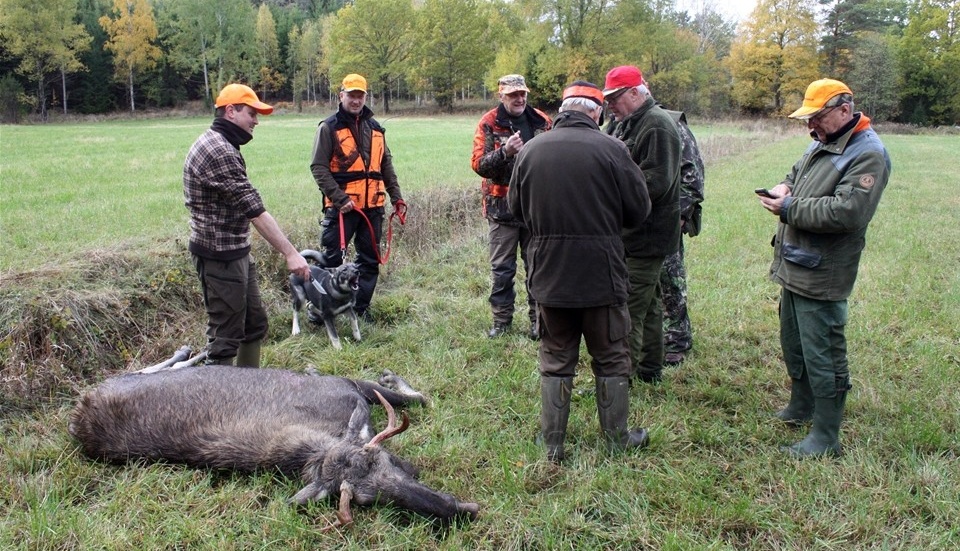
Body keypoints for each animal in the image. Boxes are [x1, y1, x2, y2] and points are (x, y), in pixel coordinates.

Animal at [67, 354, 480, 532]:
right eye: (368, 501)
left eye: (387, 459)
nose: (458, 509)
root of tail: (79, 414)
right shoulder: (346, 384)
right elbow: (419, 397)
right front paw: (392, 375)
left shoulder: (348, 388)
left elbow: (418, 397)